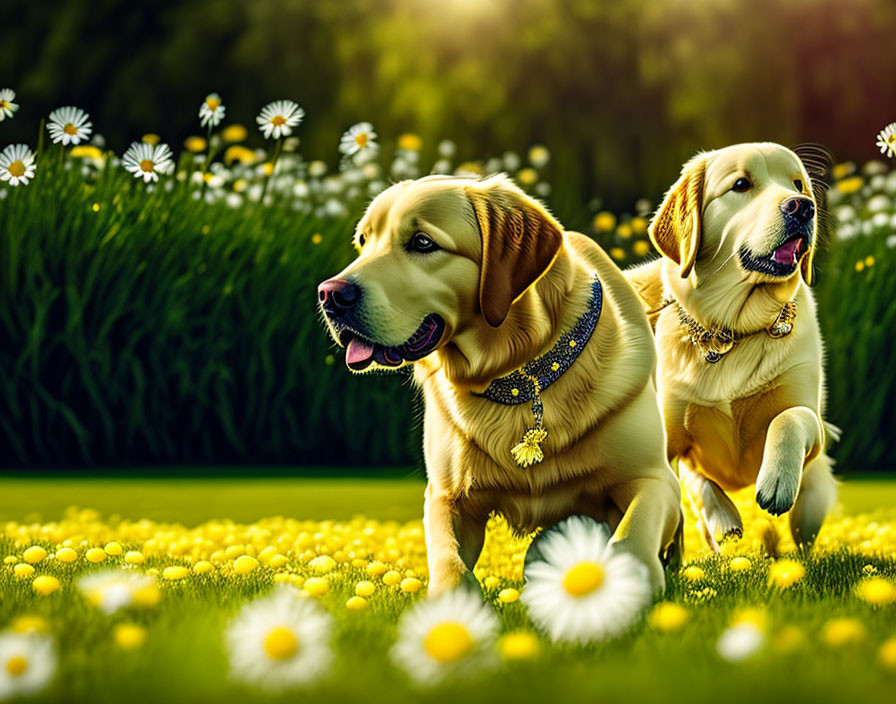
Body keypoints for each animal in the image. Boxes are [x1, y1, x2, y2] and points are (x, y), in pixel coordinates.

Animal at [318, 175, 684, 592]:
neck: (518, 377)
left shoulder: (652, 479)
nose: (330, 294)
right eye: (363, 242)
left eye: (423, 243)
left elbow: (630, 537)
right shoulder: (446, 496)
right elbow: (447, 559)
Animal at [628, 142, 836, 552]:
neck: (733, 330)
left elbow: (790, 417)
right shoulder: (672, 442)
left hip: (814, 497)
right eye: (741, 184)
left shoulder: (811, 425)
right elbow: (694, 482)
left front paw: (775, 480)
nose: (802, 206)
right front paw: (723, 518)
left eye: (797, 183)